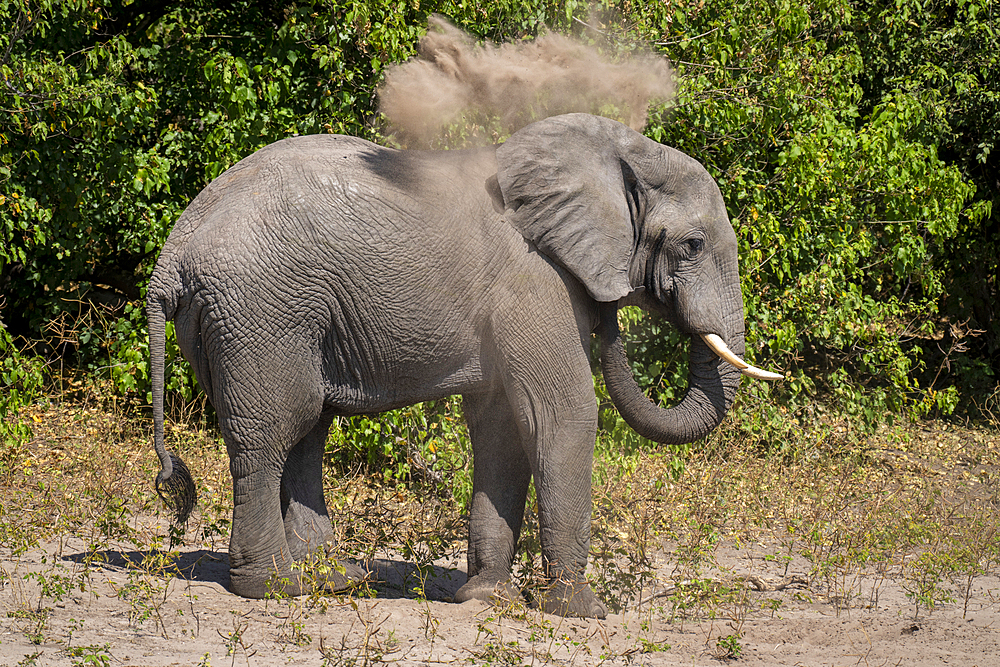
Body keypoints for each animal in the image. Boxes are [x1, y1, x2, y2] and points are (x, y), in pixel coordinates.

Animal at [148, 112, 776, 620]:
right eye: (692, 245)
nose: (611, 314)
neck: (618, 151)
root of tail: (171, 255)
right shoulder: (534, 280)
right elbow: (562, 415)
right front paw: (582, 611)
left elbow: (503, 429)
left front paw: (486, 598)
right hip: (260, 311)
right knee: (275, 430)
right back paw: (274, 587)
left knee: (307, 431)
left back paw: (334, 578)